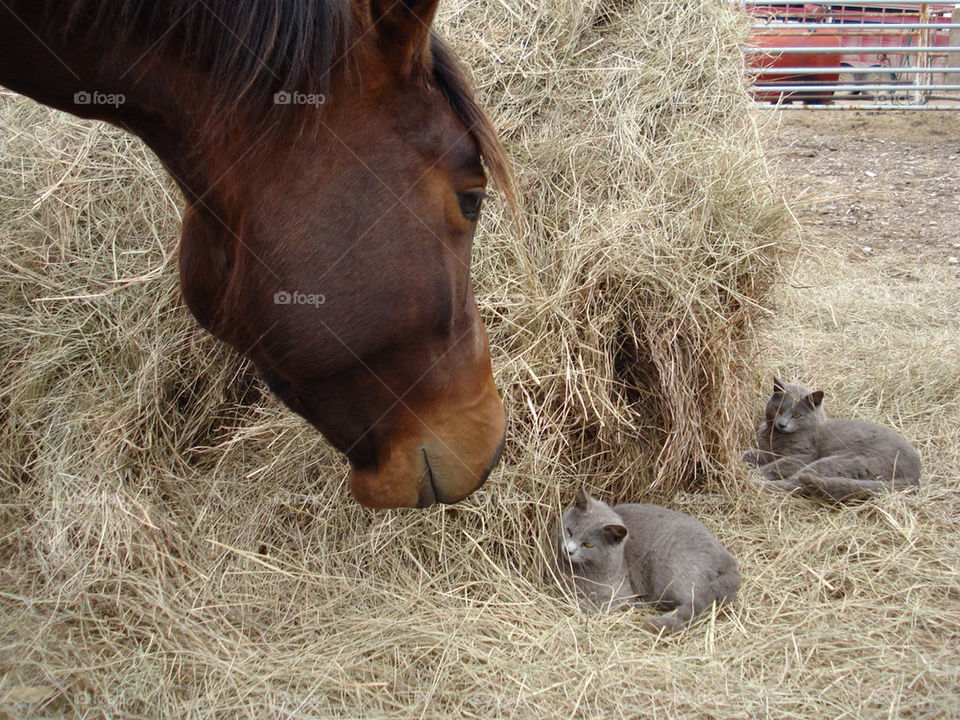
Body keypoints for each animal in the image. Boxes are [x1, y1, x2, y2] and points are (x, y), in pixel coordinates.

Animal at [552, 490, 740, 636]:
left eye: (588, 545)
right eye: (569, 531)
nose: (569, 550)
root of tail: (726, 557)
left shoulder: (621, 593)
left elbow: (596, 603)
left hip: (667, 571)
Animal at [744, 380, 924, 504]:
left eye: (796, 415)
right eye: (779, 409)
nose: (782, 424)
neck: (774, 434)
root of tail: (915, 475)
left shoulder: (802, 456)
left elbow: (777, 465)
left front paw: (757, 472)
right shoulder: (769, 449)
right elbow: (760, 454)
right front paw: (746, 457)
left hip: (840, 461)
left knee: (796, 482)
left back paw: (759, 483)